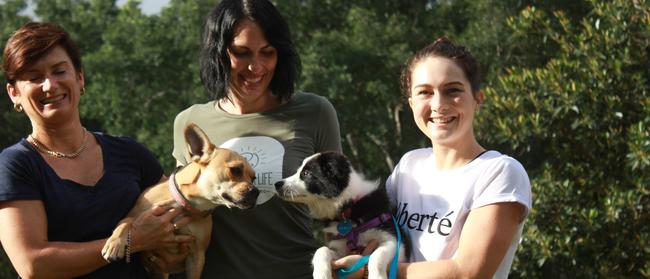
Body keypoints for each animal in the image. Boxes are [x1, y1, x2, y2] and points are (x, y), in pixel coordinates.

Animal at [100, 124, 256, 279]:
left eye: (253, 178)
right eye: (235, 170)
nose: (255, 191)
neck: (186, 204)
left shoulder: (197, 257)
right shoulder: (136, 214)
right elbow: (125, 222)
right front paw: (114, 244)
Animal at [270, 152, 402, 279]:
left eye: (306, 173)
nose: (277, 184)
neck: (347, 208)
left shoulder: (394, 241)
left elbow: (376, 255)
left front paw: (377, 276)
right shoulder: (340, 248)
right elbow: (321, 250)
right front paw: (321, 274)